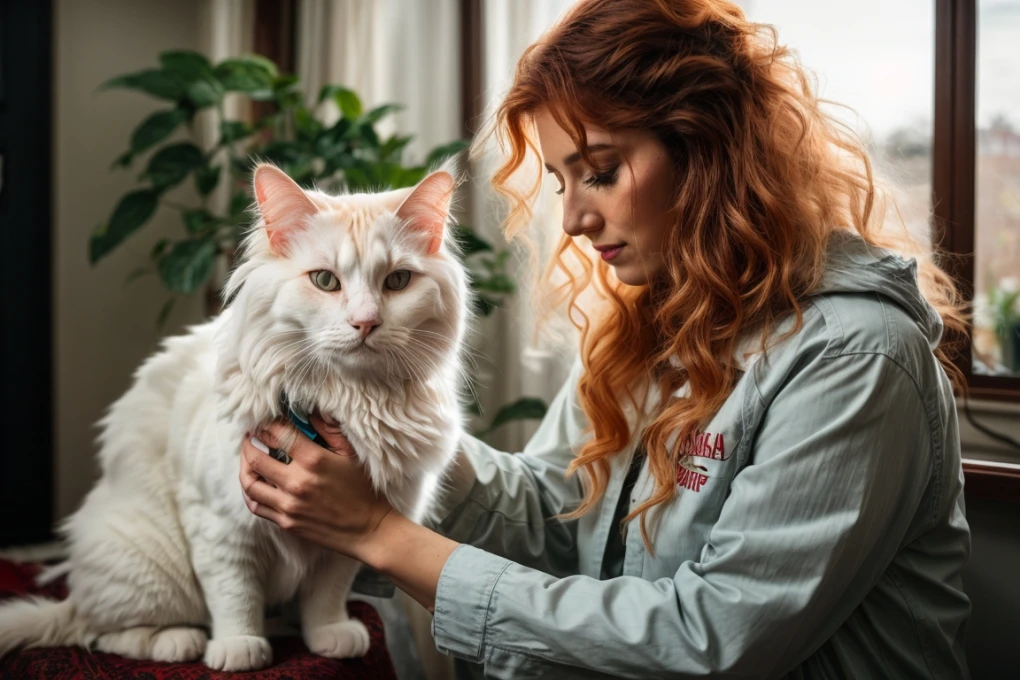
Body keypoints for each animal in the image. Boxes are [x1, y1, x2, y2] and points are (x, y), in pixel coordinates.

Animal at [0, 163, 467, 668]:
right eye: (325, 281)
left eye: (397, 282)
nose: (365, 323)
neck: (351, 400)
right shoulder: (222, 525)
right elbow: (234, 595)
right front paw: (239, 648)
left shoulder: (349, 533)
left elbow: (327, 593)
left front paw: (328, 636)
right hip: (150, 564)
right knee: (104, 632)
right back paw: (180, 640)